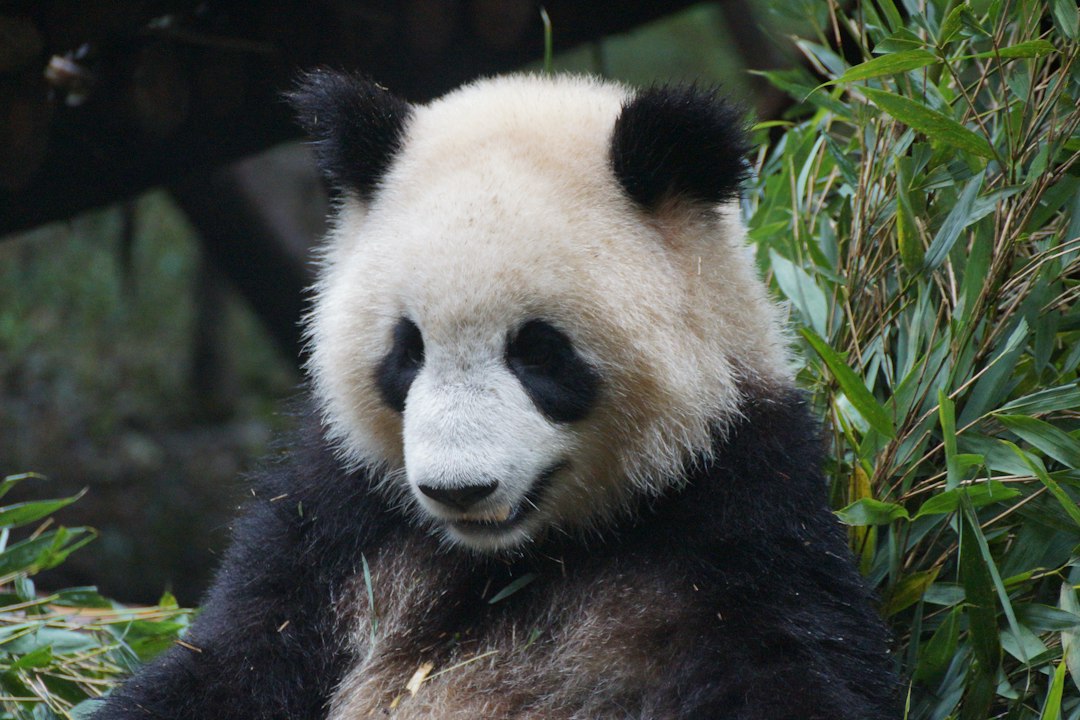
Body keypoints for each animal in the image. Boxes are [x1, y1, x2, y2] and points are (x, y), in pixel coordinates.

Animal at [94, 72, 896, 719]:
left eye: (538, 352)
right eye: (407, 350)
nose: (459, 489)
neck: (512, 558)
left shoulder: (739, 506)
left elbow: (787, 665)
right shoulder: (336, 522)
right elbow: (230, 660)